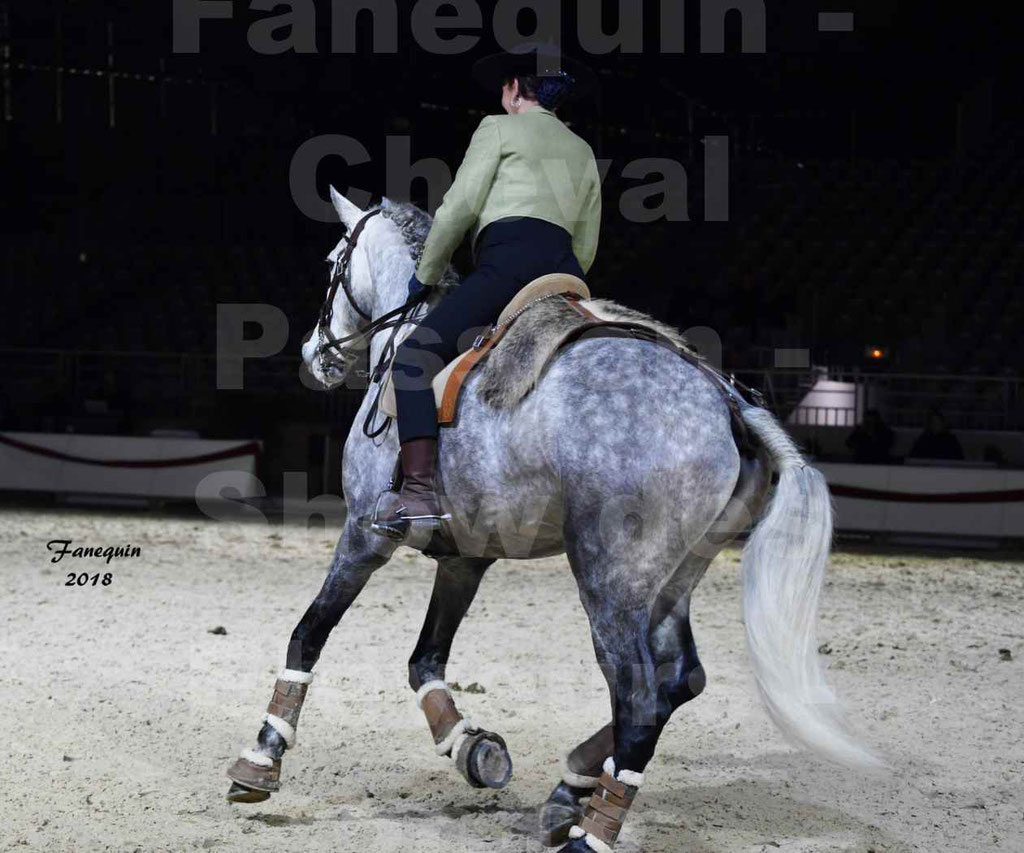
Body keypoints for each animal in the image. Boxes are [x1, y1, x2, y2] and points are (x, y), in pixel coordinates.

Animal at [226, 189, 880, 847]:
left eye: (332, 262)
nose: (315, 355)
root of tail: (728, 402)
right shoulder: (466, 556)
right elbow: (425, 661)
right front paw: (471, 748)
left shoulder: (364, 534)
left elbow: (309, 634)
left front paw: (262, 758)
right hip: (674, 578)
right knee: (679, 681)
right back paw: (573, 788)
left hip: (610, 581)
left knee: (639, 697)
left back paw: (592, 829)